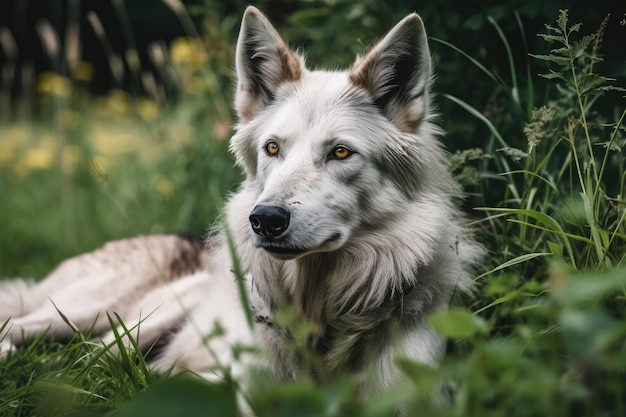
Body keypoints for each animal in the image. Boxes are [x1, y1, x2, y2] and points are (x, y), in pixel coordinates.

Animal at [0, 4, 480, 396]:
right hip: (115, 314)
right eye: (272, 148)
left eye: (341, 153)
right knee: (54, 342)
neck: (320, 318)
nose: (264, 220)